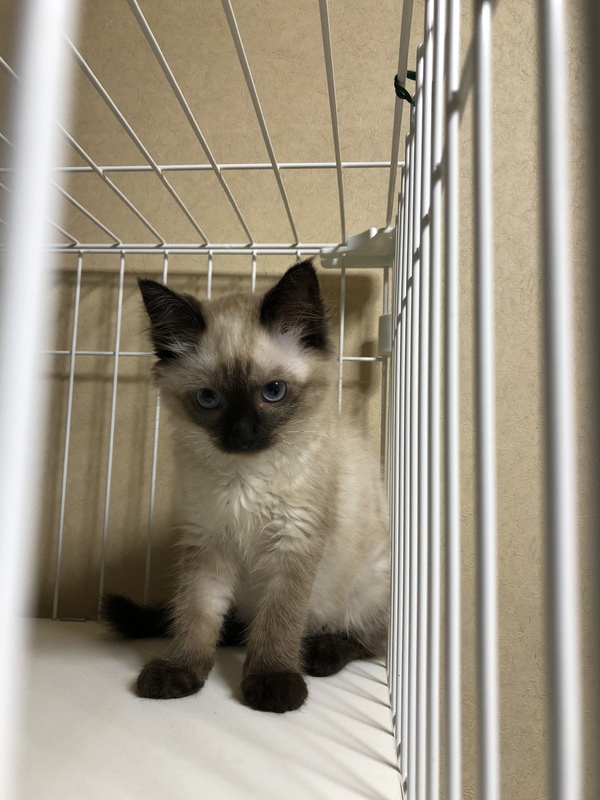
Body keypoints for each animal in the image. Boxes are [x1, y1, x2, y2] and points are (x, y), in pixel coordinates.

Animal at [104, 259, 390, 713]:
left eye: (273, 392)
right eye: (208, 399)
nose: (241, 434)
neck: (244, 477)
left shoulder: (293, 543)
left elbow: (279, 622)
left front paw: (273, 683)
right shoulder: (207, 541)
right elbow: (197, 613)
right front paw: (179, 672)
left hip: (369, 583)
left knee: (368, 640)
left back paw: (319, 654)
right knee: (235, 625)